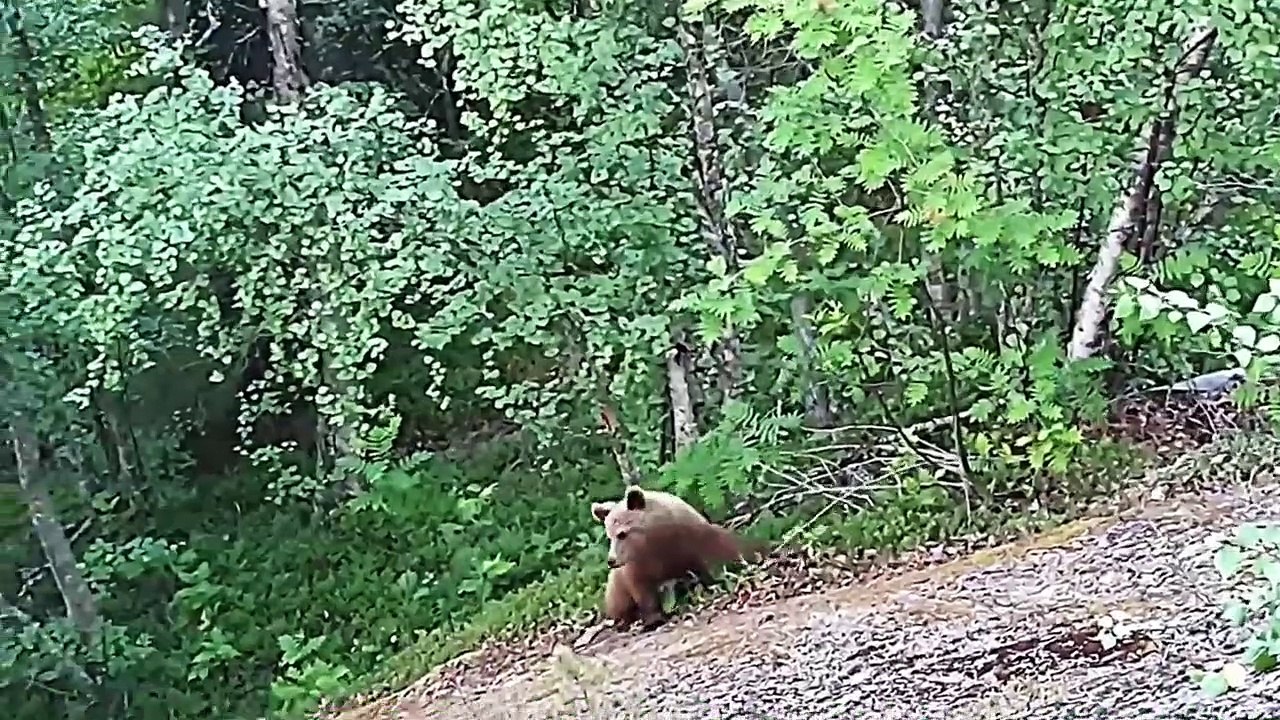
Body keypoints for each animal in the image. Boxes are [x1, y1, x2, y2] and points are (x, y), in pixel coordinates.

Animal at [591, 485, 760, 629]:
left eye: (622, 533)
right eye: (609, 535)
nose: (611, 561)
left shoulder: (691, 542)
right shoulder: (637, 566)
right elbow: (642, 591)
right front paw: (653, 619)